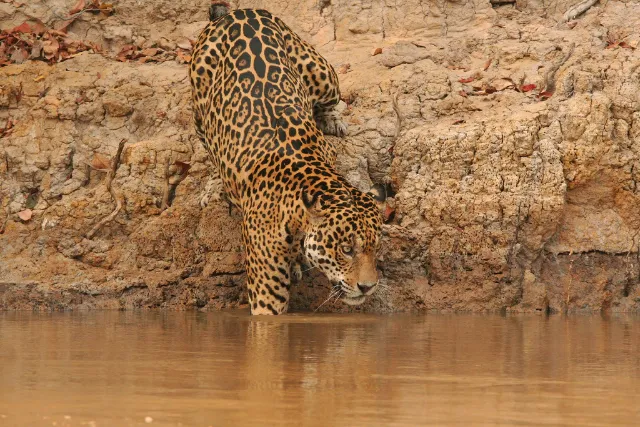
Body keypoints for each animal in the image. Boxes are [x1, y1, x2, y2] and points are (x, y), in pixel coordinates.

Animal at [189, 2, 386, 315]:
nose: (367, 287)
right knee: (208, 145)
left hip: (322, 73)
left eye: (375, 248)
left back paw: (334, 122)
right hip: (199, 106)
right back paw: (214, 185)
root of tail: (239, 12)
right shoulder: (266, 296)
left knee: (330, 101)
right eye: (346, 249)